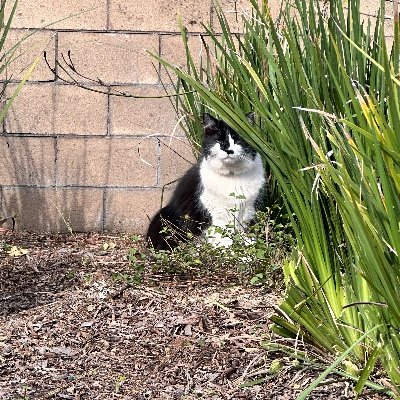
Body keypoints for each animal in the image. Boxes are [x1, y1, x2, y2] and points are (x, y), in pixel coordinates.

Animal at [147, 112, 266, 250]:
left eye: (237, 140)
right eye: (219, 141)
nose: (229, 150)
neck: (232, 176)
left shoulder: (247, 208)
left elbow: (241, 232)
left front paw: (246, 247)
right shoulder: (214, 210)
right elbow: (222, 235)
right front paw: (229, 250)